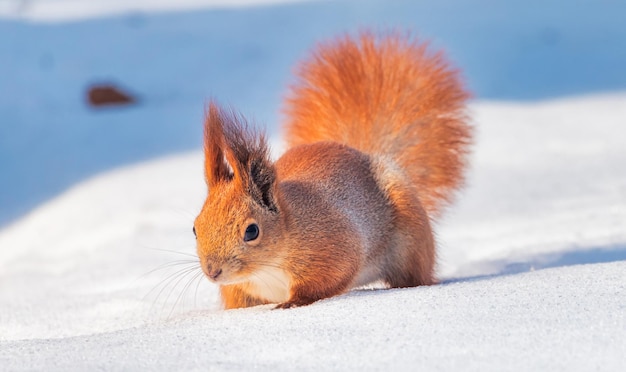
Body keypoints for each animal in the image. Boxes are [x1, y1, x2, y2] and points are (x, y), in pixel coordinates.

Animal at [193, 32, 470, 310]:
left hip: (411, 241)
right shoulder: (240, 289)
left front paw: (291, 303)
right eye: (195, 228)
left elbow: (327, 277)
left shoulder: (333, 245)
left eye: (252, 231)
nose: (213, 272)